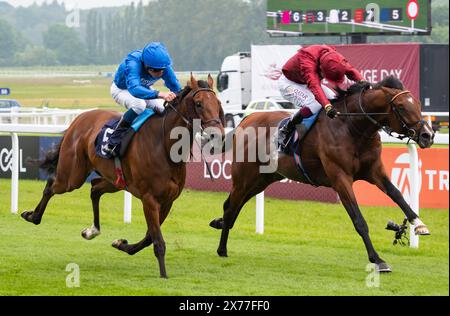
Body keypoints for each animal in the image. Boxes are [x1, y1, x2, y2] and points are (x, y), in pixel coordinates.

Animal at [21, 75, 225, 278]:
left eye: (218, 103)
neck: (164, 147)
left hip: (115, 181)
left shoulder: (168, 201)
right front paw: (164, 274)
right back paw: (32, 216)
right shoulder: (149, 199)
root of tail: (78, 119)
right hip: (72, 177)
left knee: (94, 188)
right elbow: (157, 240)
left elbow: (150, 237)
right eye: (199, 103)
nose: (217, 136)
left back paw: (92, 230)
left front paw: (122, 244)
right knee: (51, 184)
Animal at [211, 76, 436, 272]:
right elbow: (359, 220)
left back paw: (219, 225)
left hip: (262, 180)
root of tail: (245, 120)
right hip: (245, 177)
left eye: (417, 104)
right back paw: (222, 248)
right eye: (401, 107)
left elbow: (398, 195)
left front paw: (419, 225)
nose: (428, 135)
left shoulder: (374, 171)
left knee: (232, 205)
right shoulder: (340, 178)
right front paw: (377, 260)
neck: (352, 127)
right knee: (231, 207)